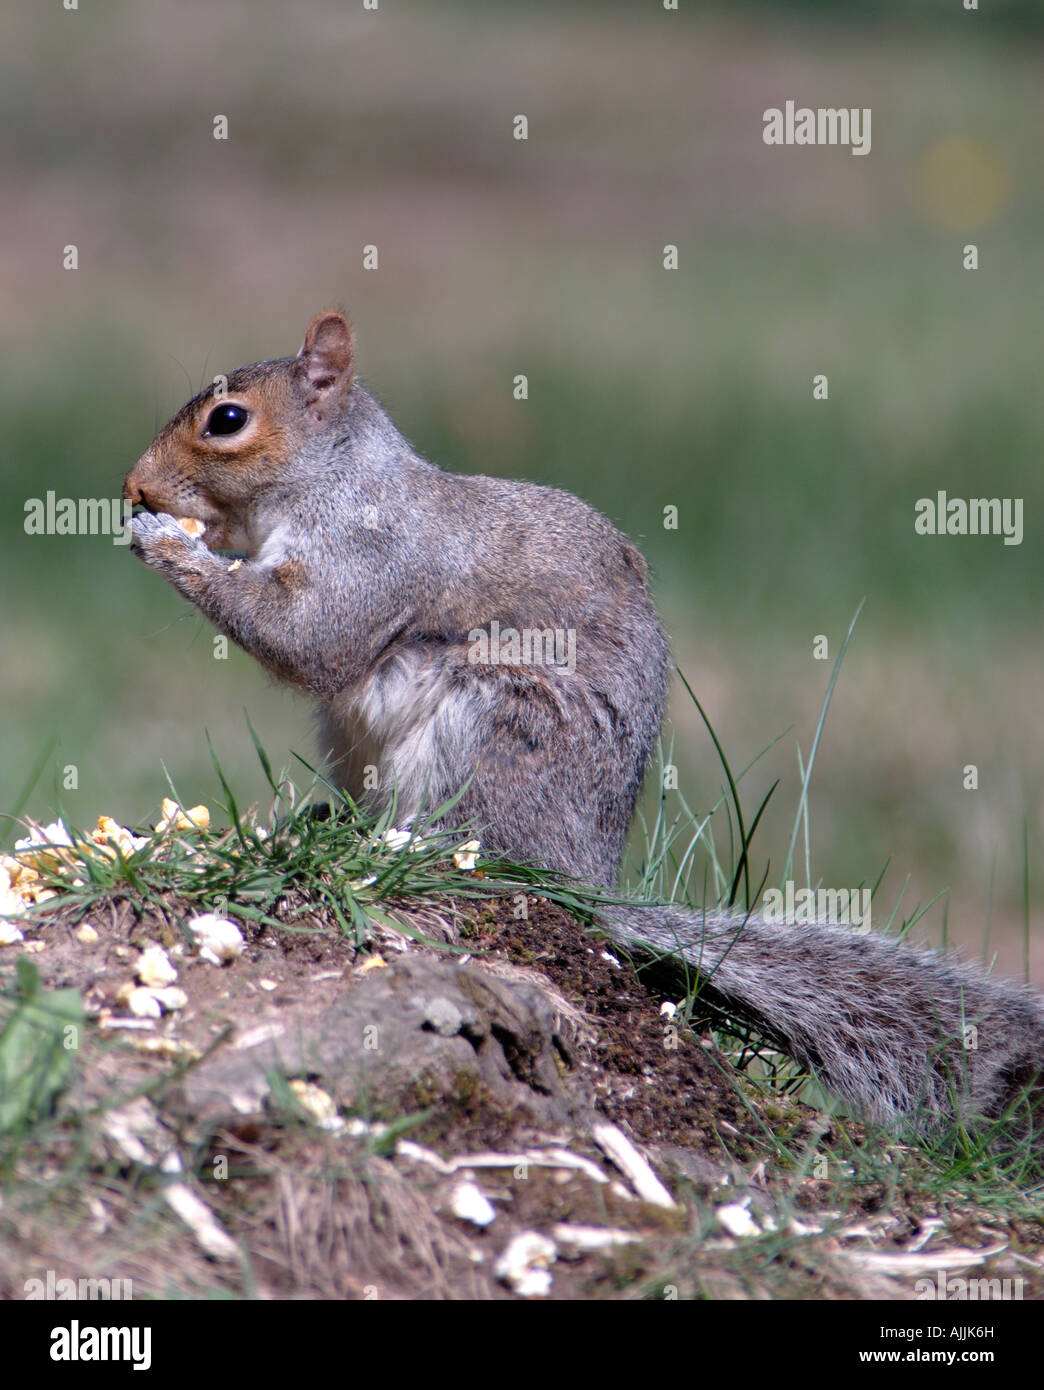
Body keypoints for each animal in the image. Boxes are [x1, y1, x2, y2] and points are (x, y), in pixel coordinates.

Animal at [124, 308, 1044, 1139]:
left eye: (228, 420)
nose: (133, 489)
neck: (335, 483)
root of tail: (585, 875)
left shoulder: (373, 559)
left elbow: (308, 637)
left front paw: (171, 547)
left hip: (500, 730)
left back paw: (409, 847)